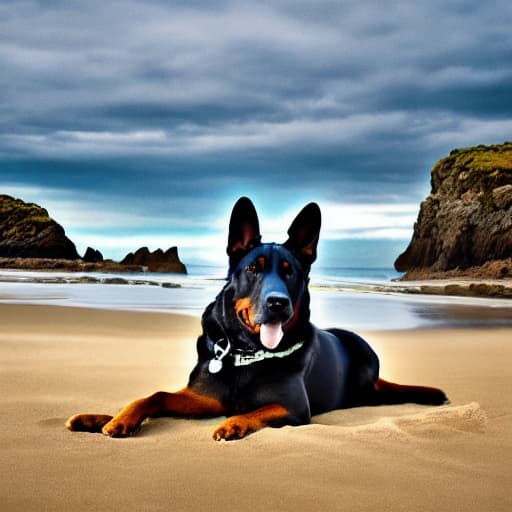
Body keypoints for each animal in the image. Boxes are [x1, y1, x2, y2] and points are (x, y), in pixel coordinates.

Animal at [66, 196, 446, 440]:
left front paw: (232, 424)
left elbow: (252, 410)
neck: (246, 353)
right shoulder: (207, 397)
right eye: (253, 269)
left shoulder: (294, 409)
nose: (278, 303)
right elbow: (155, 395)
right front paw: (118, 419)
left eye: (291, 271)